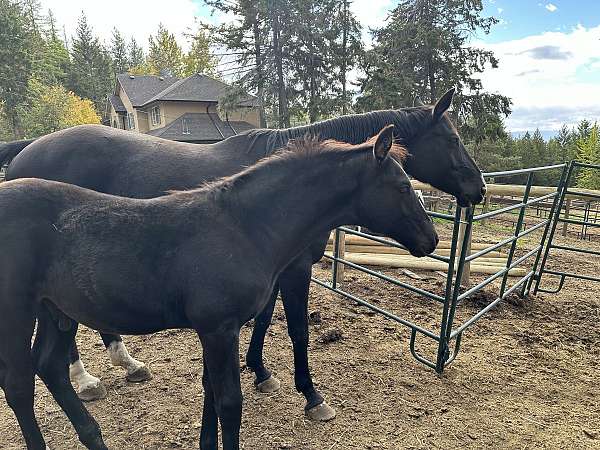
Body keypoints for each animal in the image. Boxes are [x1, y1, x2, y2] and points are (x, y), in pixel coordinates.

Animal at [0, 89, 486, 420]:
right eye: (453, 139)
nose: (479, 189)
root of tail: (25, 153)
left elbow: (265, 320)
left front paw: (259, 371)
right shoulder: (294, 270)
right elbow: (295, 329)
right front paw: (311, 396)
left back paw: (127, 362)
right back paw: (85, 379)